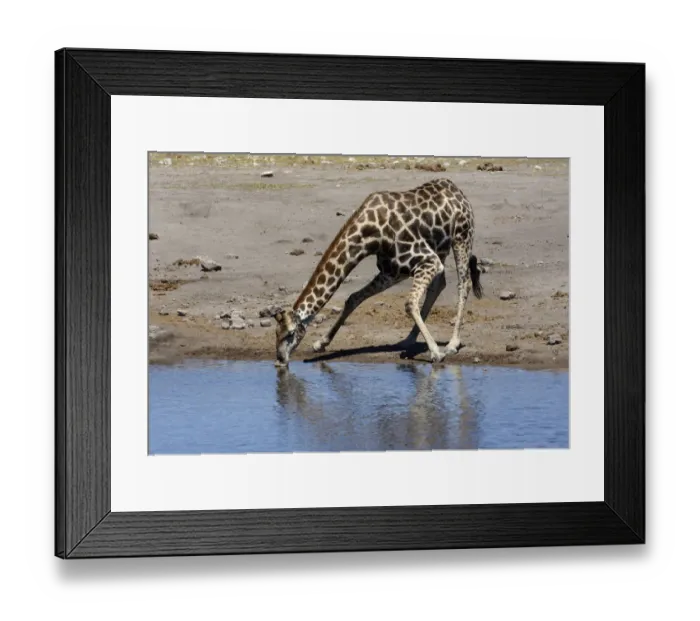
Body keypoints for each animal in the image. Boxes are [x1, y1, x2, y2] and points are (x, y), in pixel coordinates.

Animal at [273, 177, 483, 366]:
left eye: (290, 333)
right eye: (276, 333)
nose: (280, 360)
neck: (369, 234)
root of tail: (458, 192)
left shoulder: (427, 260)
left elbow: (409, 303)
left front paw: (436, 353)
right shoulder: (391, 271)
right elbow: (353, 298)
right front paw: (320, 343)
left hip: (461, 238)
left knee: (463, 283)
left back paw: (452, 344)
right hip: (440, 248)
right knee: (440, 284)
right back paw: (409, 339)